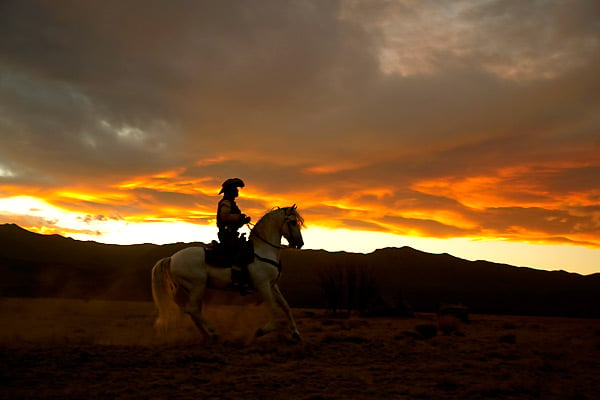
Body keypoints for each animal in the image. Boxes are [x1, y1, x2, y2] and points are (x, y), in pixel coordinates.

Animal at [150, 206, 304, 340]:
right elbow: (274, 307)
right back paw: (214, 332)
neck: (262, 250)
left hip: (193, 289)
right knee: (193, 309)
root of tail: (172, 258)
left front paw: (295, 333)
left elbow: (285, 306)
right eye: (293, 222)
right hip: (197, 285)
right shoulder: (263, 285)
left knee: (193, 311)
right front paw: (263, 330)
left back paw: (207, 335)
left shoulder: (272, 285)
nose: (300, 243)